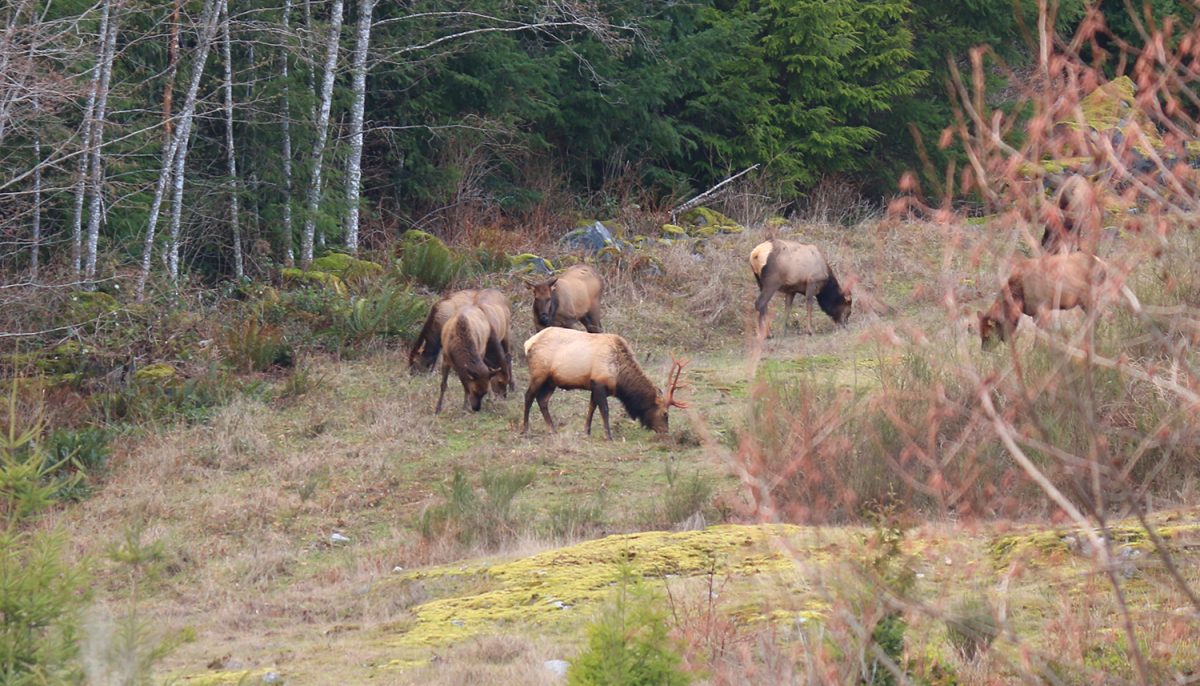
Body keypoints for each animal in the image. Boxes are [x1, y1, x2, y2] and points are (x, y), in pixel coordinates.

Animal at [523, 326, 691, 438]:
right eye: (665, 413)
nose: (665, 432)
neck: (619, 378)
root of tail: (527, 343)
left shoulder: (594, 385)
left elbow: (591, 407)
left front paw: (586, 431)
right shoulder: (599, 383)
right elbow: (604, 410)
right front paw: (608, 435)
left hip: (551, 381)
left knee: (542, 400)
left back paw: (552, 429)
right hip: (539, 374)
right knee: (529, 396)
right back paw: (525, 429)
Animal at [979, 250, 1137, 347]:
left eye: (987, 335)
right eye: (980, 335)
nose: (985, 351)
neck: (1017, 298)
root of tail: (1103, 265)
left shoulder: (1042, 309)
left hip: (1090, 296)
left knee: (1108, 315)